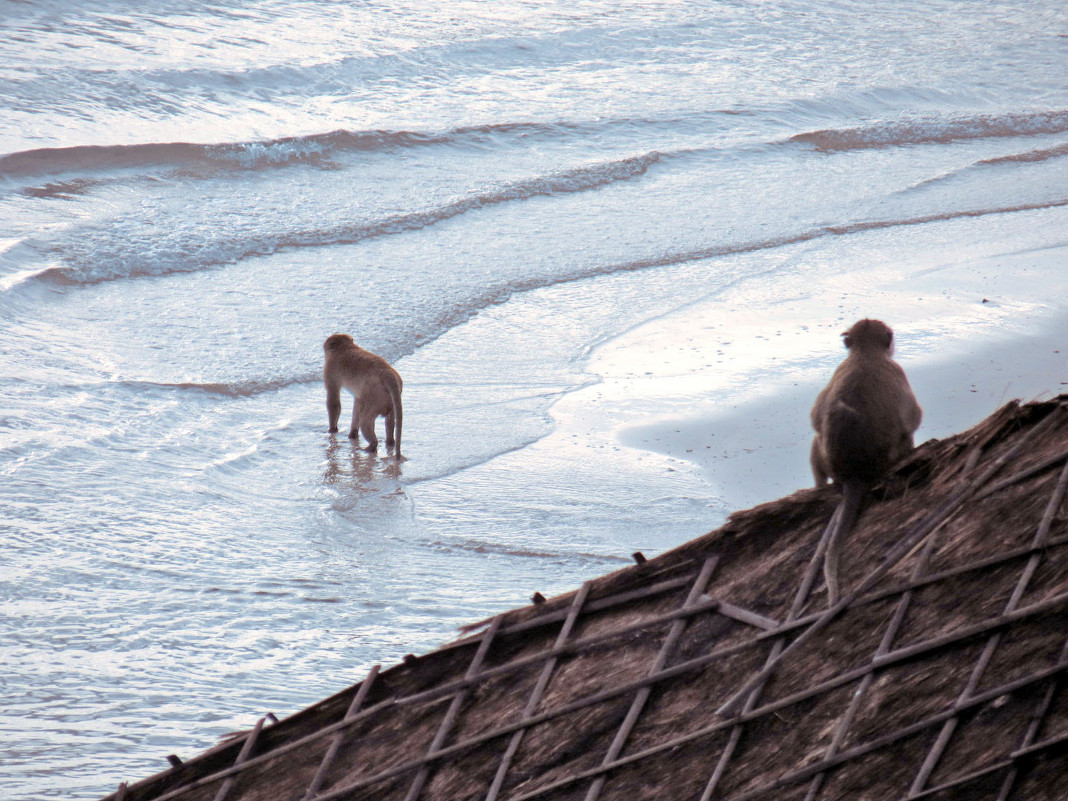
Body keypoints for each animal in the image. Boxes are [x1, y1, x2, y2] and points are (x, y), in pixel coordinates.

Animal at [807, 316, 918, 606]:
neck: (865, 355)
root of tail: (853, 473)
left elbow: (815, 418)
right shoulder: (897, 371)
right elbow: (913, 418)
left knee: (817, 438)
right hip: (891, 456)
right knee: (906, 435)